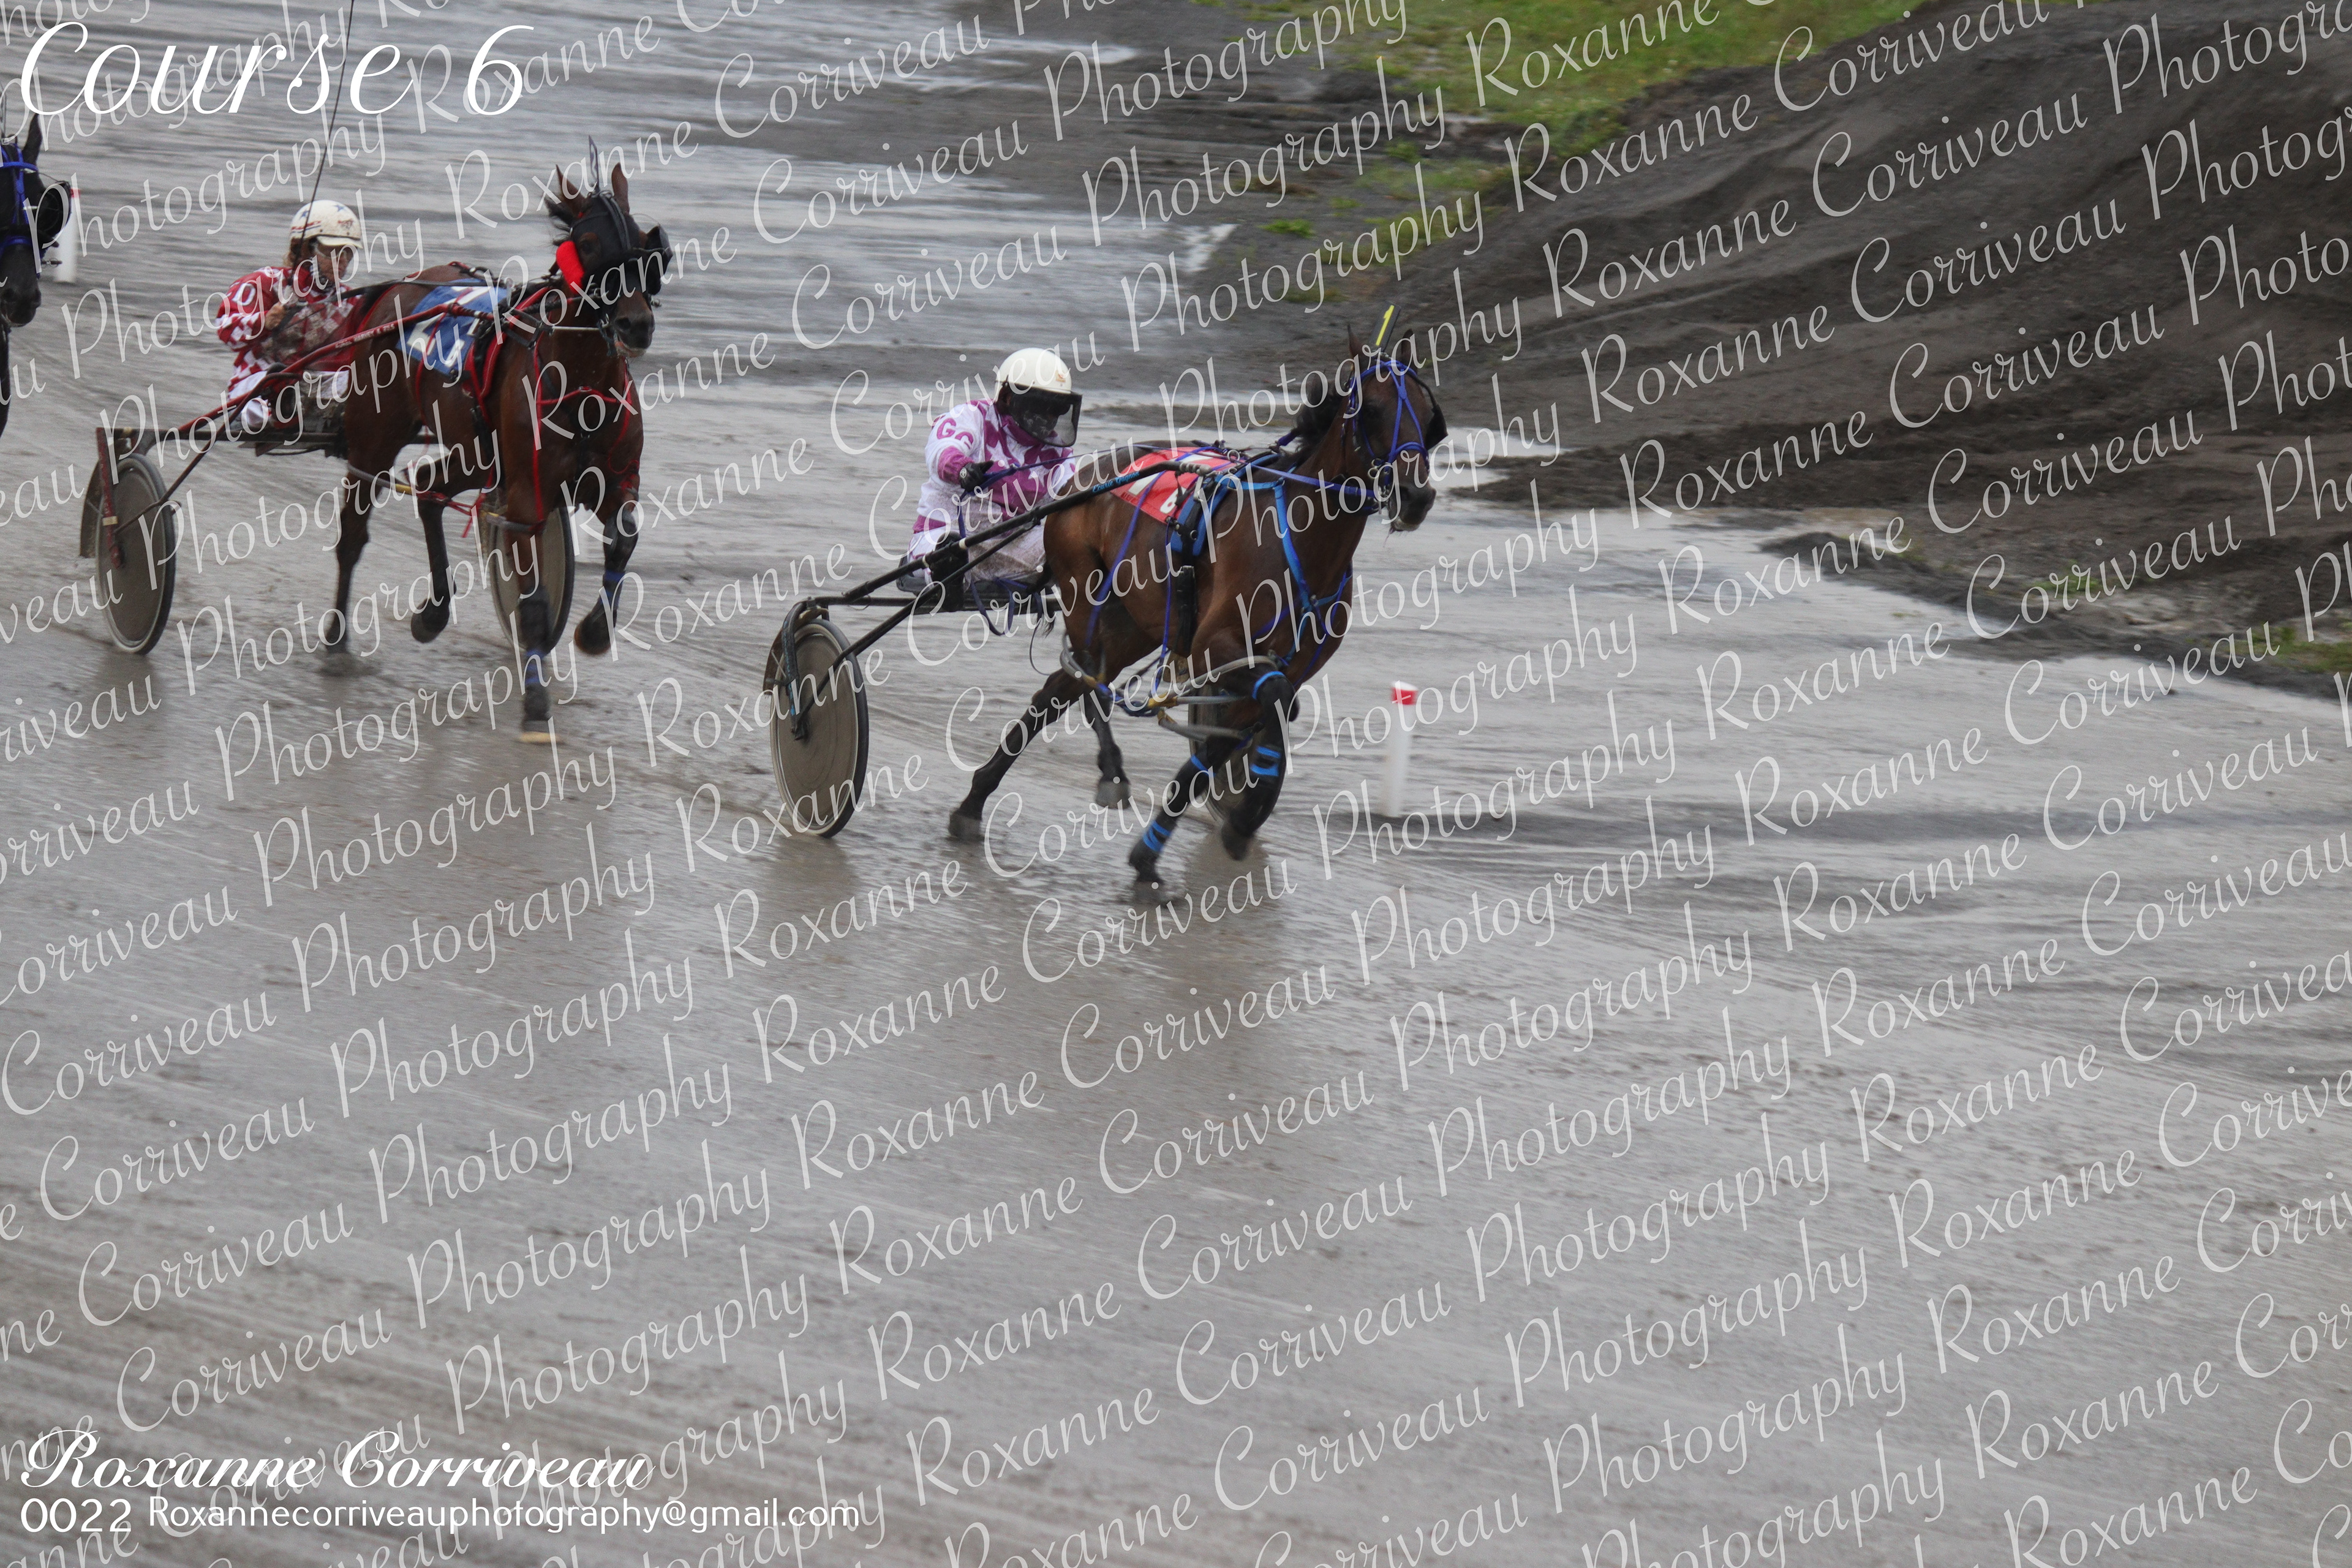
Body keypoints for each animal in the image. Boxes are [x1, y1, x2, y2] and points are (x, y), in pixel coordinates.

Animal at [330, 162, 670, 737]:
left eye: (643, 244)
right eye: (589, 243)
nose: (637, 324)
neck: (580, 387)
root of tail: (397, 289)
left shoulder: (615, 479)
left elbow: (624, 538)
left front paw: (594, 633)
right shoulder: (528, 497)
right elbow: (532, 603)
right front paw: (535, 702)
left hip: (477, 455)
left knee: (429, 487)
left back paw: (433, 613)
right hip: (375, 440)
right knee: (354, 533)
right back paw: (335, 637)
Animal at [945, 334, 1443, 884]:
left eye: (1430, 417)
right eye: (1372, 409)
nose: (1416, 495)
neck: (1301, 538)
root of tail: (1082, 477)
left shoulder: (1275, 667)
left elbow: (1230, 740)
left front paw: (1150, 856)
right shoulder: (1218, 646)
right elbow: (1272, 705)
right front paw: (1245, 818)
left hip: (1135, 622)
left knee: (1061, 689)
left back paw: (989, 796)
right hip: (1088, 596)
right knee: (1078, 678)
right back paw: (1040, 785)